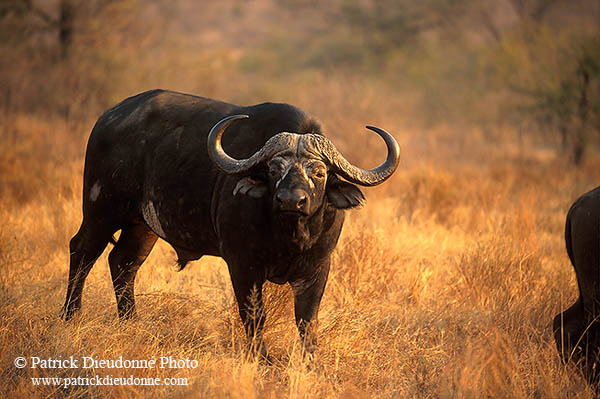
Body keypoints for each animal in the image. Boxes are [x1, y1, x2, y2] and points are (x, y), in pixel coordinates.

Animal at [61, 89, 400, 358]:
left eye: (318, 172)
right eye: (274, 169)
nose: (291, 200)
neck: (289, 236)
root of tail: (108, 118)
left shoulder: (317, 268)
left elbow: (307, 320)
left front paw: (310, 362)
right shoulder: (242, 265)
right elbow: (254, 315)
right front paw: (262, 359)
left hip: (142, 225)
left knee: (123, 262)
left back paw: (131, 321)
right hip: (101, 209)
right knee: (82, 251)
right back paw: (70, 316)